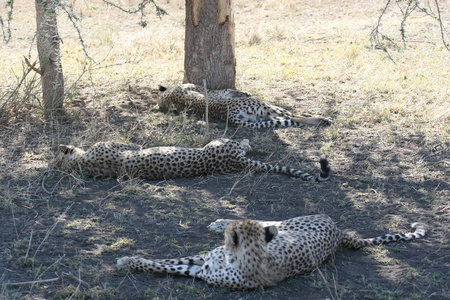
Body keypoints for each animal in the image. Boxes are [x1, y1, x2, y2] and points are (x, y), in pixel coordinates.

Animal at [158, 83, 330, 127]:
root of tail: (229, 116)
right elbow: (233, 90)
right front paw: (246, 92)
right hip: (262, 106)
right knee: (292, 116)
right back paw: (321, 119)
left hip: (258, 117)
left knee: (284, 116)